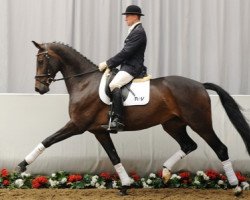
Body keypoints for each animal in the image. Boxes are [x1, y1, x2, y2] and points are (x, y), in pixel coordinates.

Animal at [16, 41, 249, 195]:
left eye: (40, 59)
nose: (39, 88)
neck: (84, 83)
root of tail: (200, 85)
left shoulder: (77, 125)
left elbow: (48, 140)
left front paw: (22, 165)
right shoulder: (99, 131)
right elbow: (114, 157)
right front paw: (126, 184)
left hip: (200, 122)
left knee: (220, 148)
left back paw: (235, 187)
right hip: (172, 124)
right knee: (188, 145)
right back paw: (165, 172)